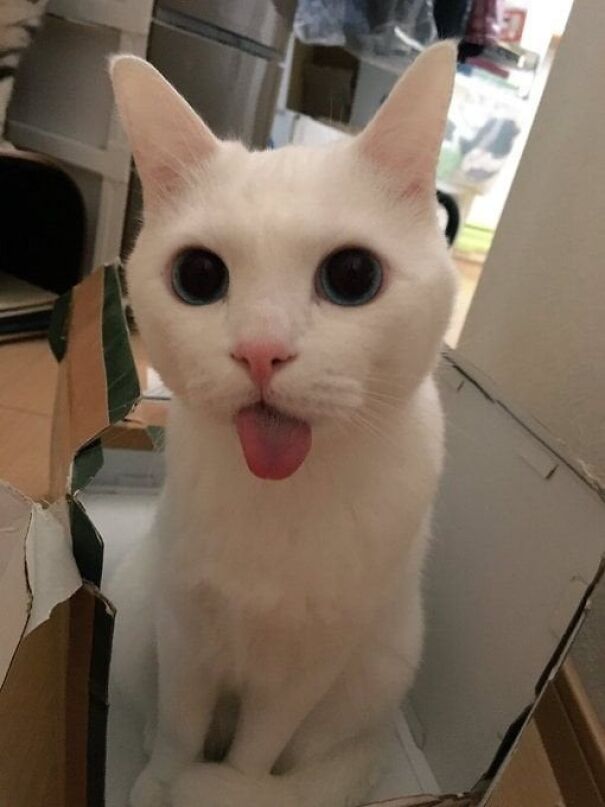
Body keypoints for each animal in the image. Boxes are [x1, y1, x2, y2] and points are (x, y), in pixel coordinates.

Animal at [108, 44, 456, 807]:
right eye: (198, 276)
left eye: (352, 275)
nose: (261, 351)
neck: (278, 497)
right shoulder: (184, 632)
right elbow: (179, 727)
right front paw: (161, 783)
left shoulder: (306, 672)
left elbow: (253, 753)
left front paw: (223, 785)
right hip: (138, 615)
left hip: (371, 676)